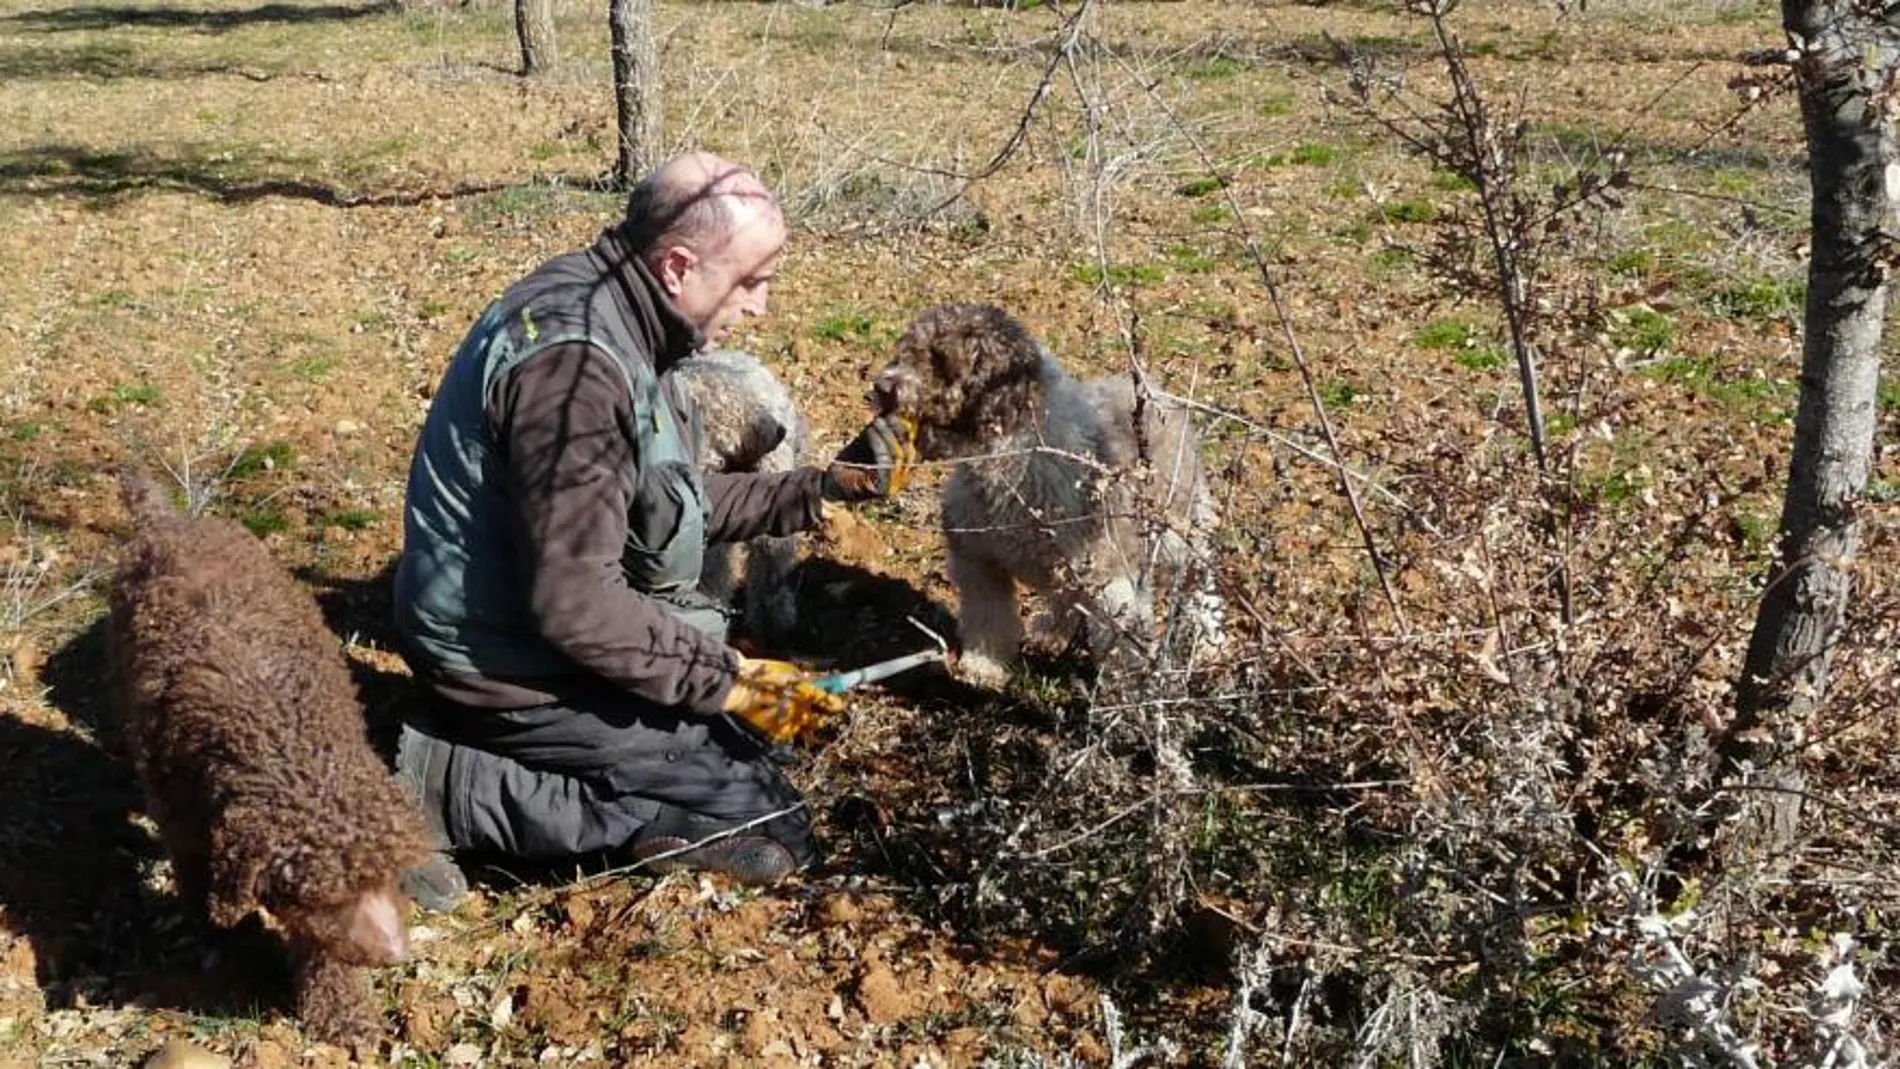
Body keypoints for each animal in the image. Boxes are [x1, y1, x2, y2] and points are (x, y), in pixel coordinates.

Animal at [870, 303, 1223, 687]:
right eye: (905, 350)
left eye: (939, 359)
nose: (881, 385)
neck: (1014, 458)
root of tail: (1156, 393)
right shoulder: (979, 561)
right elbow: (988, 618)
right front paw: (983, 666)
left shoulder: (1109, 578)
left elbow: (1120, 643)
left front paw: (1128, 692)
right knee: (1065, 597)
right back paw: (1051, 634)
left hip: (1181, 536)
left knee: (1201, 588)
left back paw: (1209, 646)